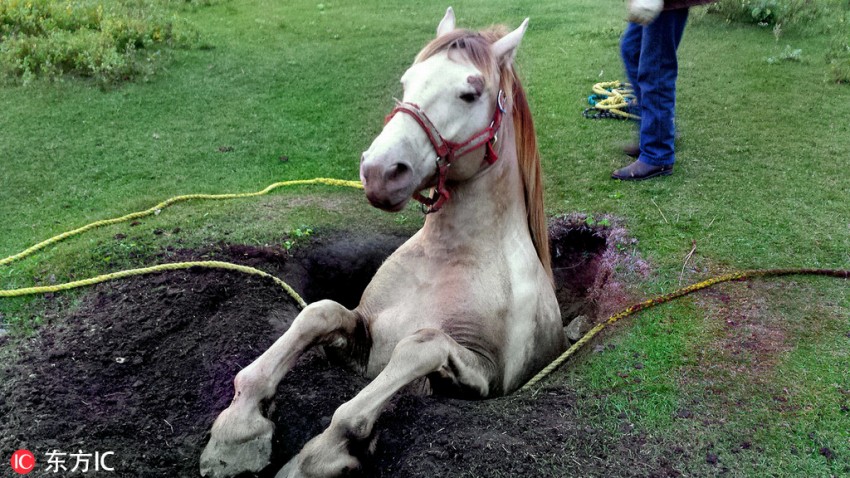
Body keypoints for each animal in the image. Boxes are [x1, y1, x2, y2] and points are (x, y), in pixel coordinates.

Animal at [199, 8, 564, 478]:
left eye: (470, 93)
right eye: (409, 82)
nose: (379, 171)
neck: (449, 258)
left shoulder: (485, 377)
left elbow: (417, 349)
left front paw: (322, 454)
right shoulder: (363, 341)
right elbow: (318, 313)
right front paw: (238, 430)